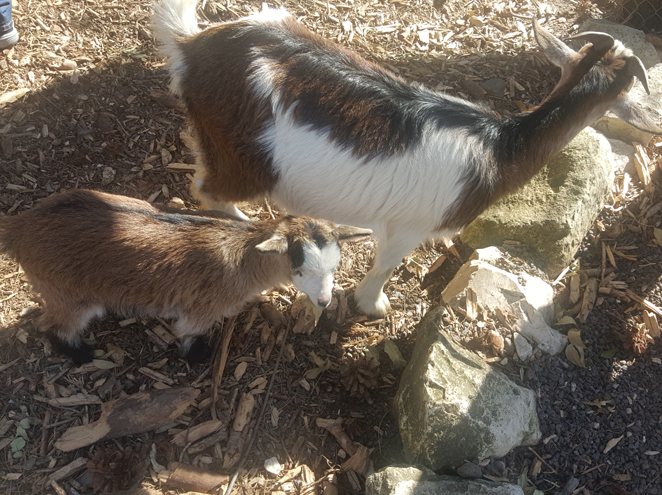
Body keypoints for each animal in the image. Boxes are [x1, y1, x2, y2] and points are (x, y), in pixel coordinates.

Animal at [0, 190, 374, 364]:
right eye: (300, 269)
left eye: (334, 267)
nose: (324, 300)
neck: (247, 253)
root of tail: (21, 227)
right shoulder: (205, 306)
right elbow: (189, 330)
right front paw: (198, 354)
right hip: (69, 295)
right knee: (51, 325)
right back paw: (81, 354)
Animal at [152, 0, 662, 318]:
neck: (499, 146)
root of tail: (190, 48)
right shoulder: (410, 226)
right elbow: (385, 266)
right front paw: (373, 305)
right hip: (244, 158)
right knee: (207, 189)